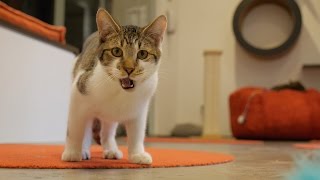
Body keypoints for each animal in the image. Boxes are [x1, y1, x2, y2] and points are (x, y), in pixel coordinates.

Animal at [62, 8, 168, 165]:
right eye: (116, 51)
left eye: (142, 54)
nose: (129, 69)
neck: (120, 92)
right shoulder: (79, 91)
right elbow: (75, 129)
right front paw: (72, 151)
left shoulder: (140, 107)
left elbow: (137, 132)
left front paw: (137, 154)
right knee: (86, 127)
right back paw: (84, 150)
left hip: (110, 116)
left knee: (107, 130)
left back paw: (110, 149)